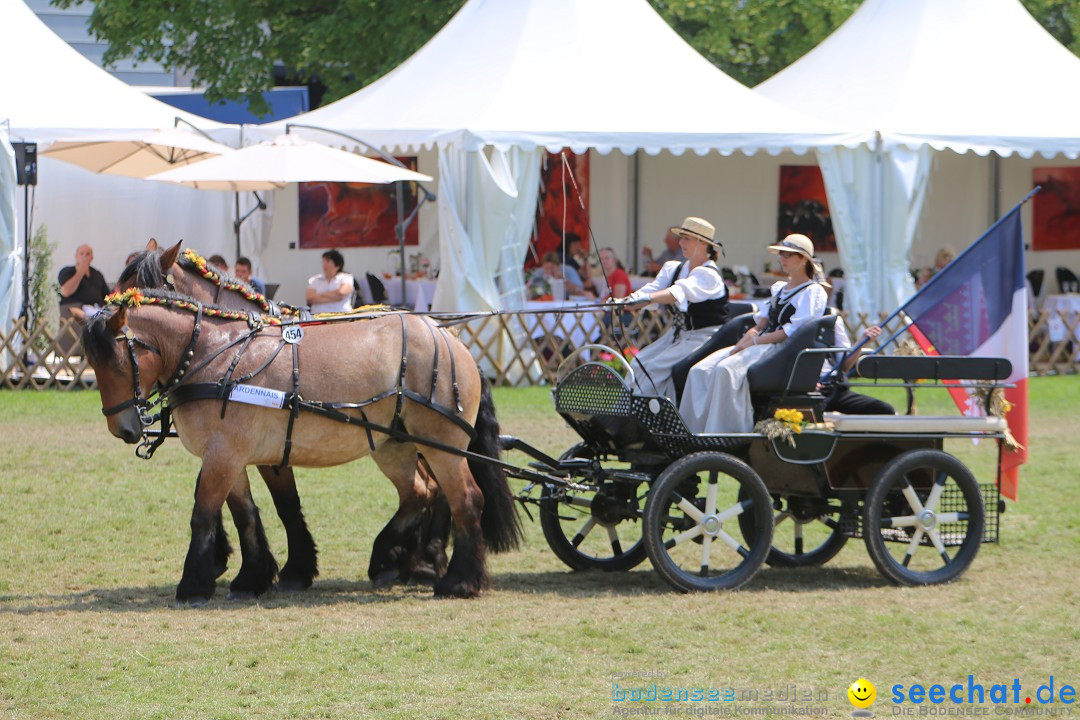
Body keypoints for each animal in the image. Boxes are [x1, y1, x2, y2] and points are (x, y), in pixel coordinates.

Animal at [82, 287, 520, 604]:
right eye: (93, 363)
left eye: (118, 360)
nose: (123, 428)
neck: (214, 356)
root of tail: (452, 339)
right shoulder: (231, 455)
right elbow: (246, 513)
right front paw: (252, 577)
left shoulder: (224, 454)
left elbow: (203, 514)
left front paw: (193, 584)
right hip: (393, 444)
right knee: (420, 494)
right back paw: (389, 559)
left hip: (442, 445)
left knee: (465, 499)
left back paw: (460, 581)